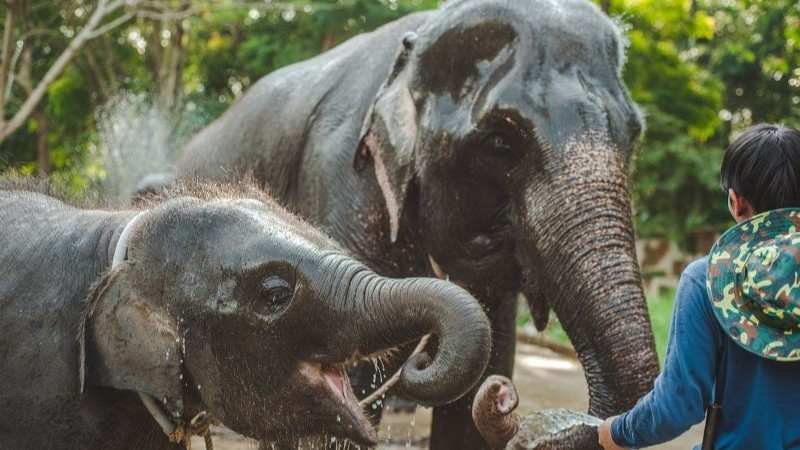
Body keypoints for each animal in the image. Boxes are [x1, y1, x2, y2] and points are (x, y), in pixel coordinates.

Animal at [178, 0, 660, 446]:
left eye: (634, 134)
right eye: (500, 143)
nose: (506, 398)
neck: (419, 36)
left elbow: (475, 388)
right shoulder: (343, 178)